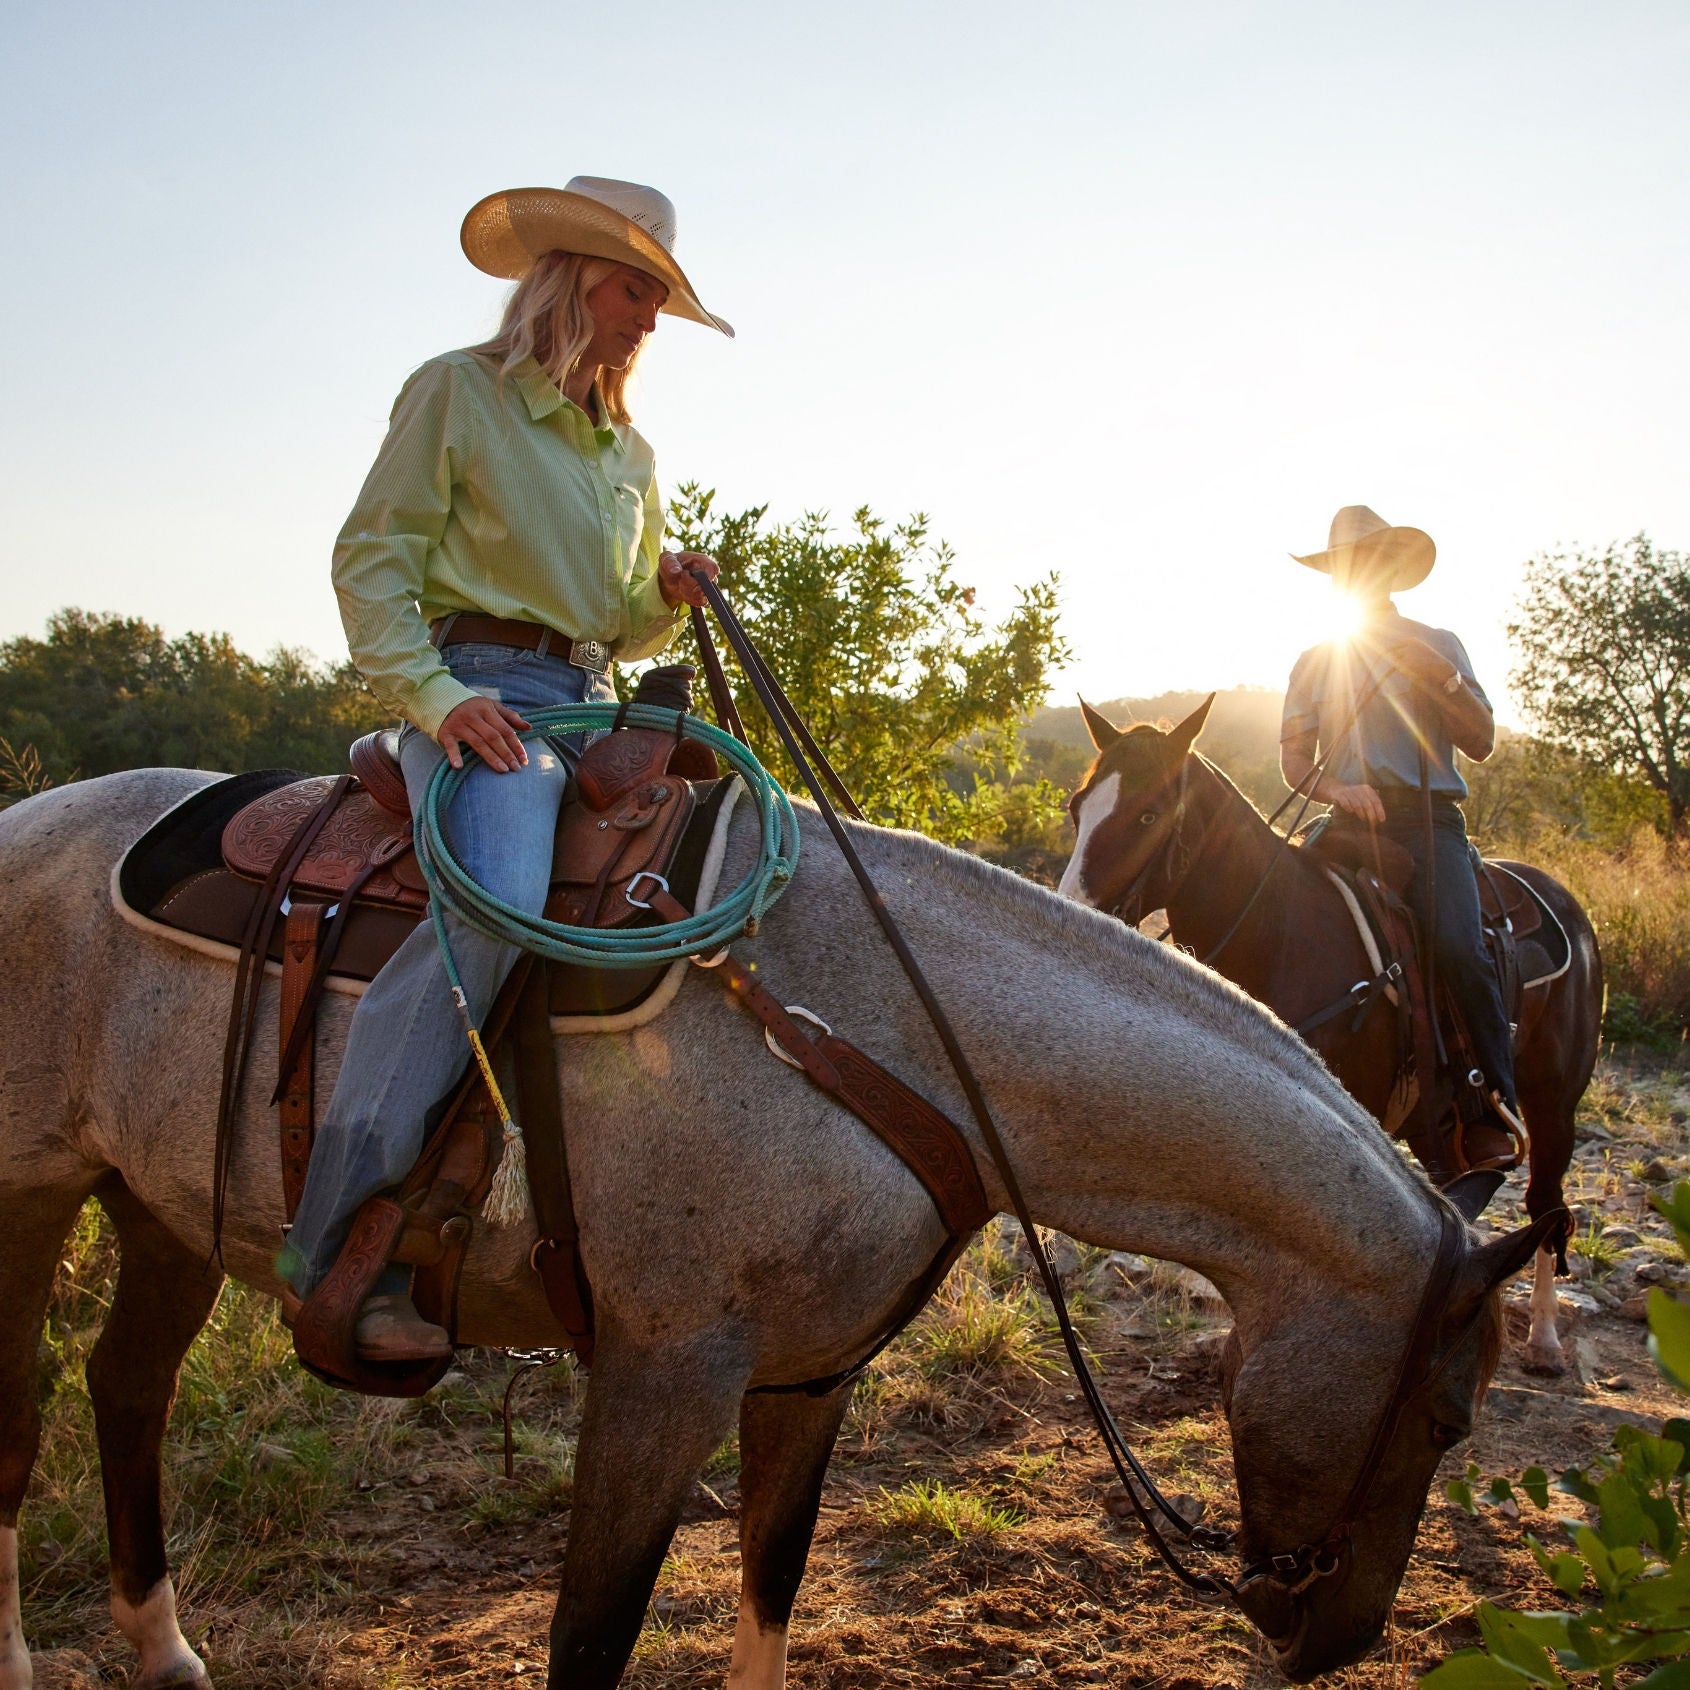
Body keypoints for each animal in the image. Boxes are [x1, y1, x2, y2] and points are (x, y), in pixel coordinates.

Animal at [0, 774, 1554, 1690]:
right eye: (1446, 1418)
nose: (1340, 1638)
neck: (882, 1029)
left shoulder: (809, 1377)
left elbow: (770, 1583)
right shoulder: (661, 1373)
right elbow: (590, 1633)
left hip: (160, 1203)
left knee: (123, 1390)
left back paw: (166, 1651)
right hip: (29, 1194)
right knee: (26, 1418)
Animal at [1061, 699, 1602, 1372]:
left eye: (1148, 813)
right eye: (1076, 808)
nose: (1069, 913)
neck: (1281, 932)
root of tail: (1565, 903)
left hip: (1554, 1103)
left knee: (1548, 1204)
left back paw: (1547, 1335)